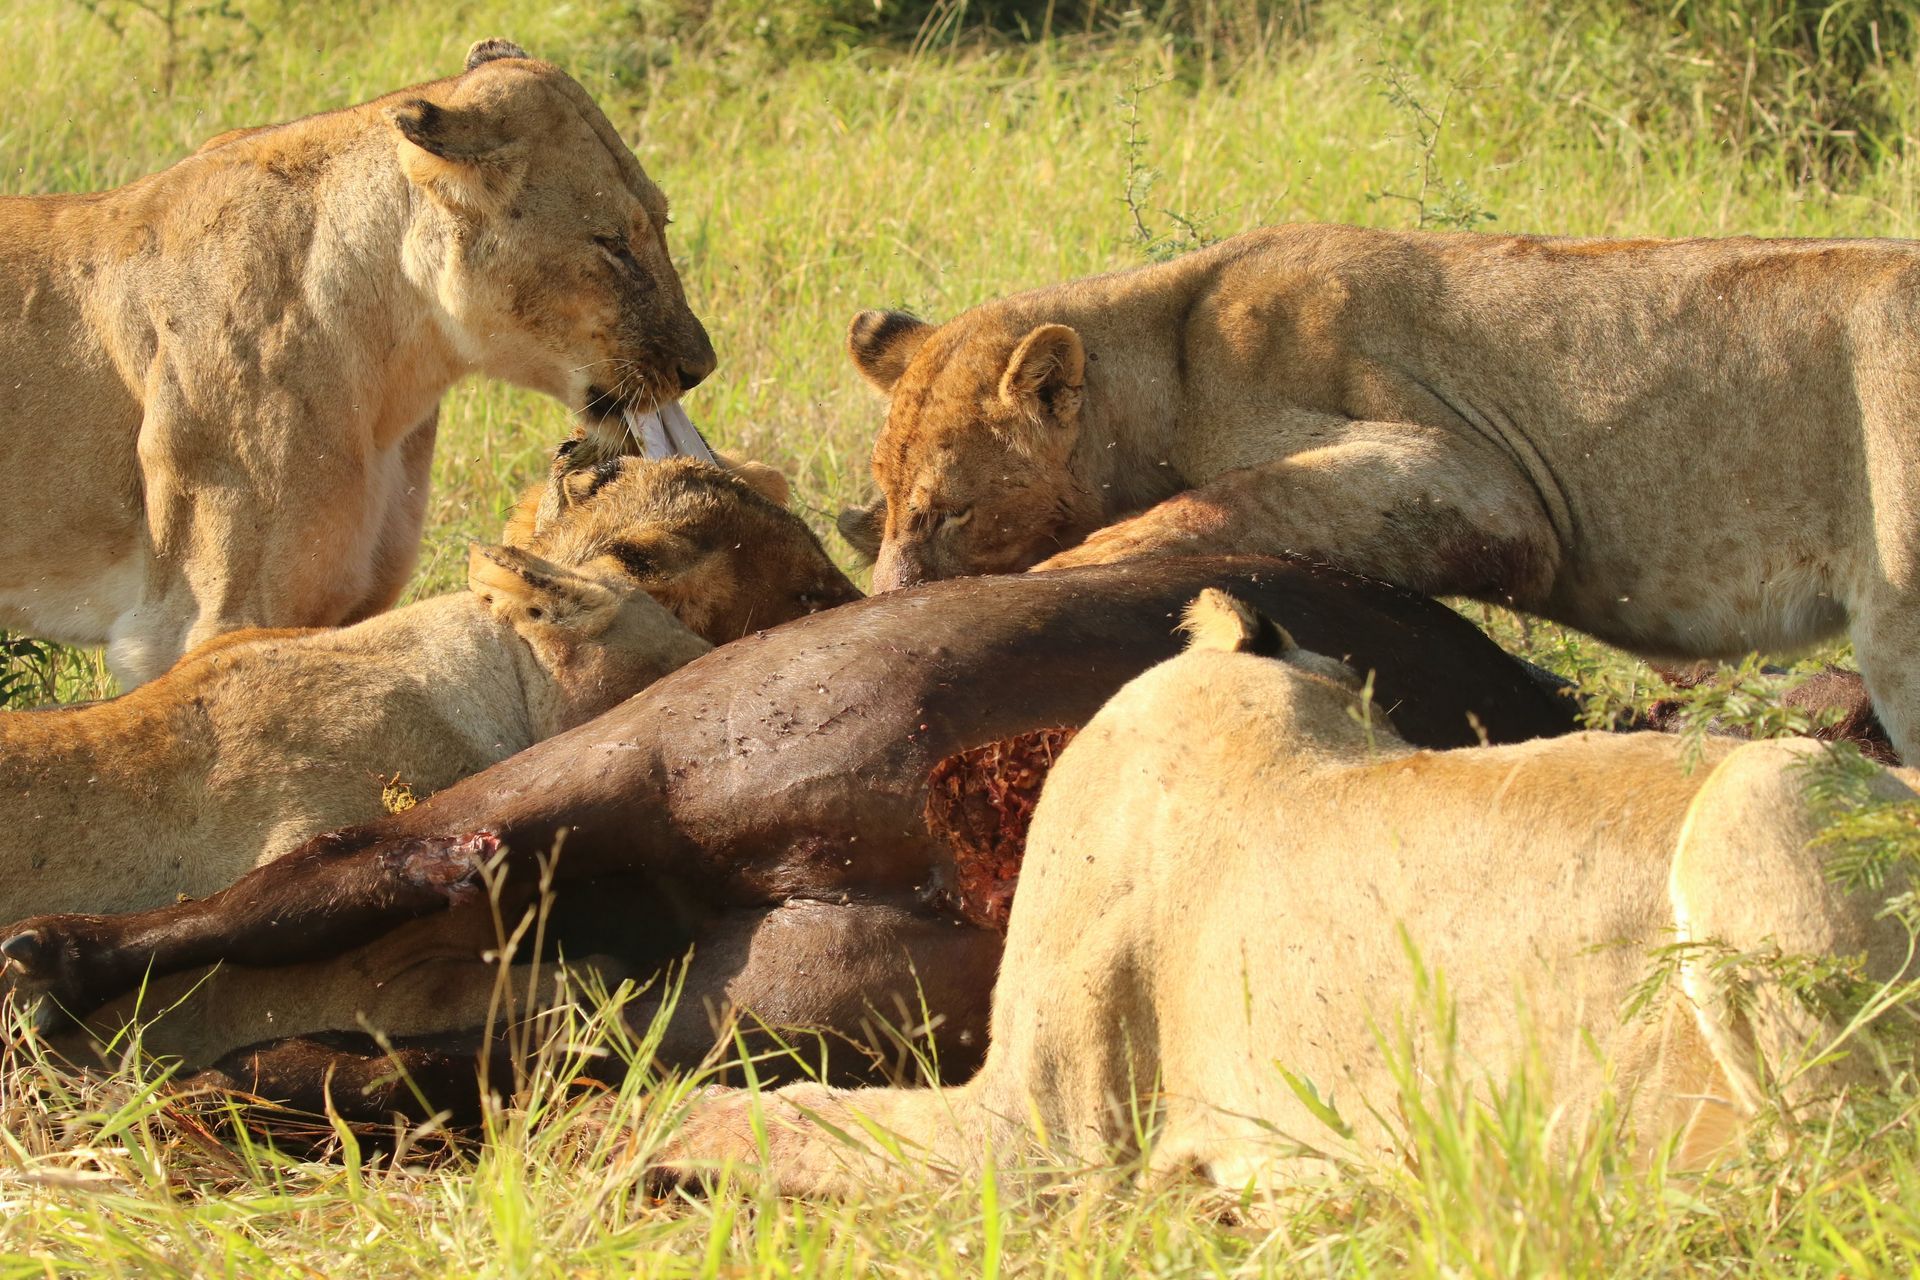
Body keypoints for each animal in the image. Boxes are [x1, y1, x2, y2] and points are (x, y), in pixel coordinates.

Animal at [834, 223, 1920, 759]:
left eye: (953, 509)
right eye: (886, 499)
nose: (887, 599)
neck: (1168, 356)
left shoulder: (1480, 484)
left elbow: (1223, 500)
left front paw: (1074, 562)